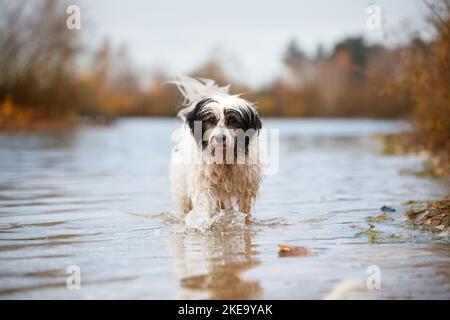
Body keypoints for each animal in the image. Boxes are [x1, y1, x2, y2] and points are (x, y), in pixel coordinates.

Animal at [169, 76, 262, 224]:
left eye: (232, 120)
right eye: (211, 120)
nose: (219, 138)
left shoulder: (245, 187)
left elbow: (245, 211)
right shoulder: (204, 184)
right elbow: (205, 207)